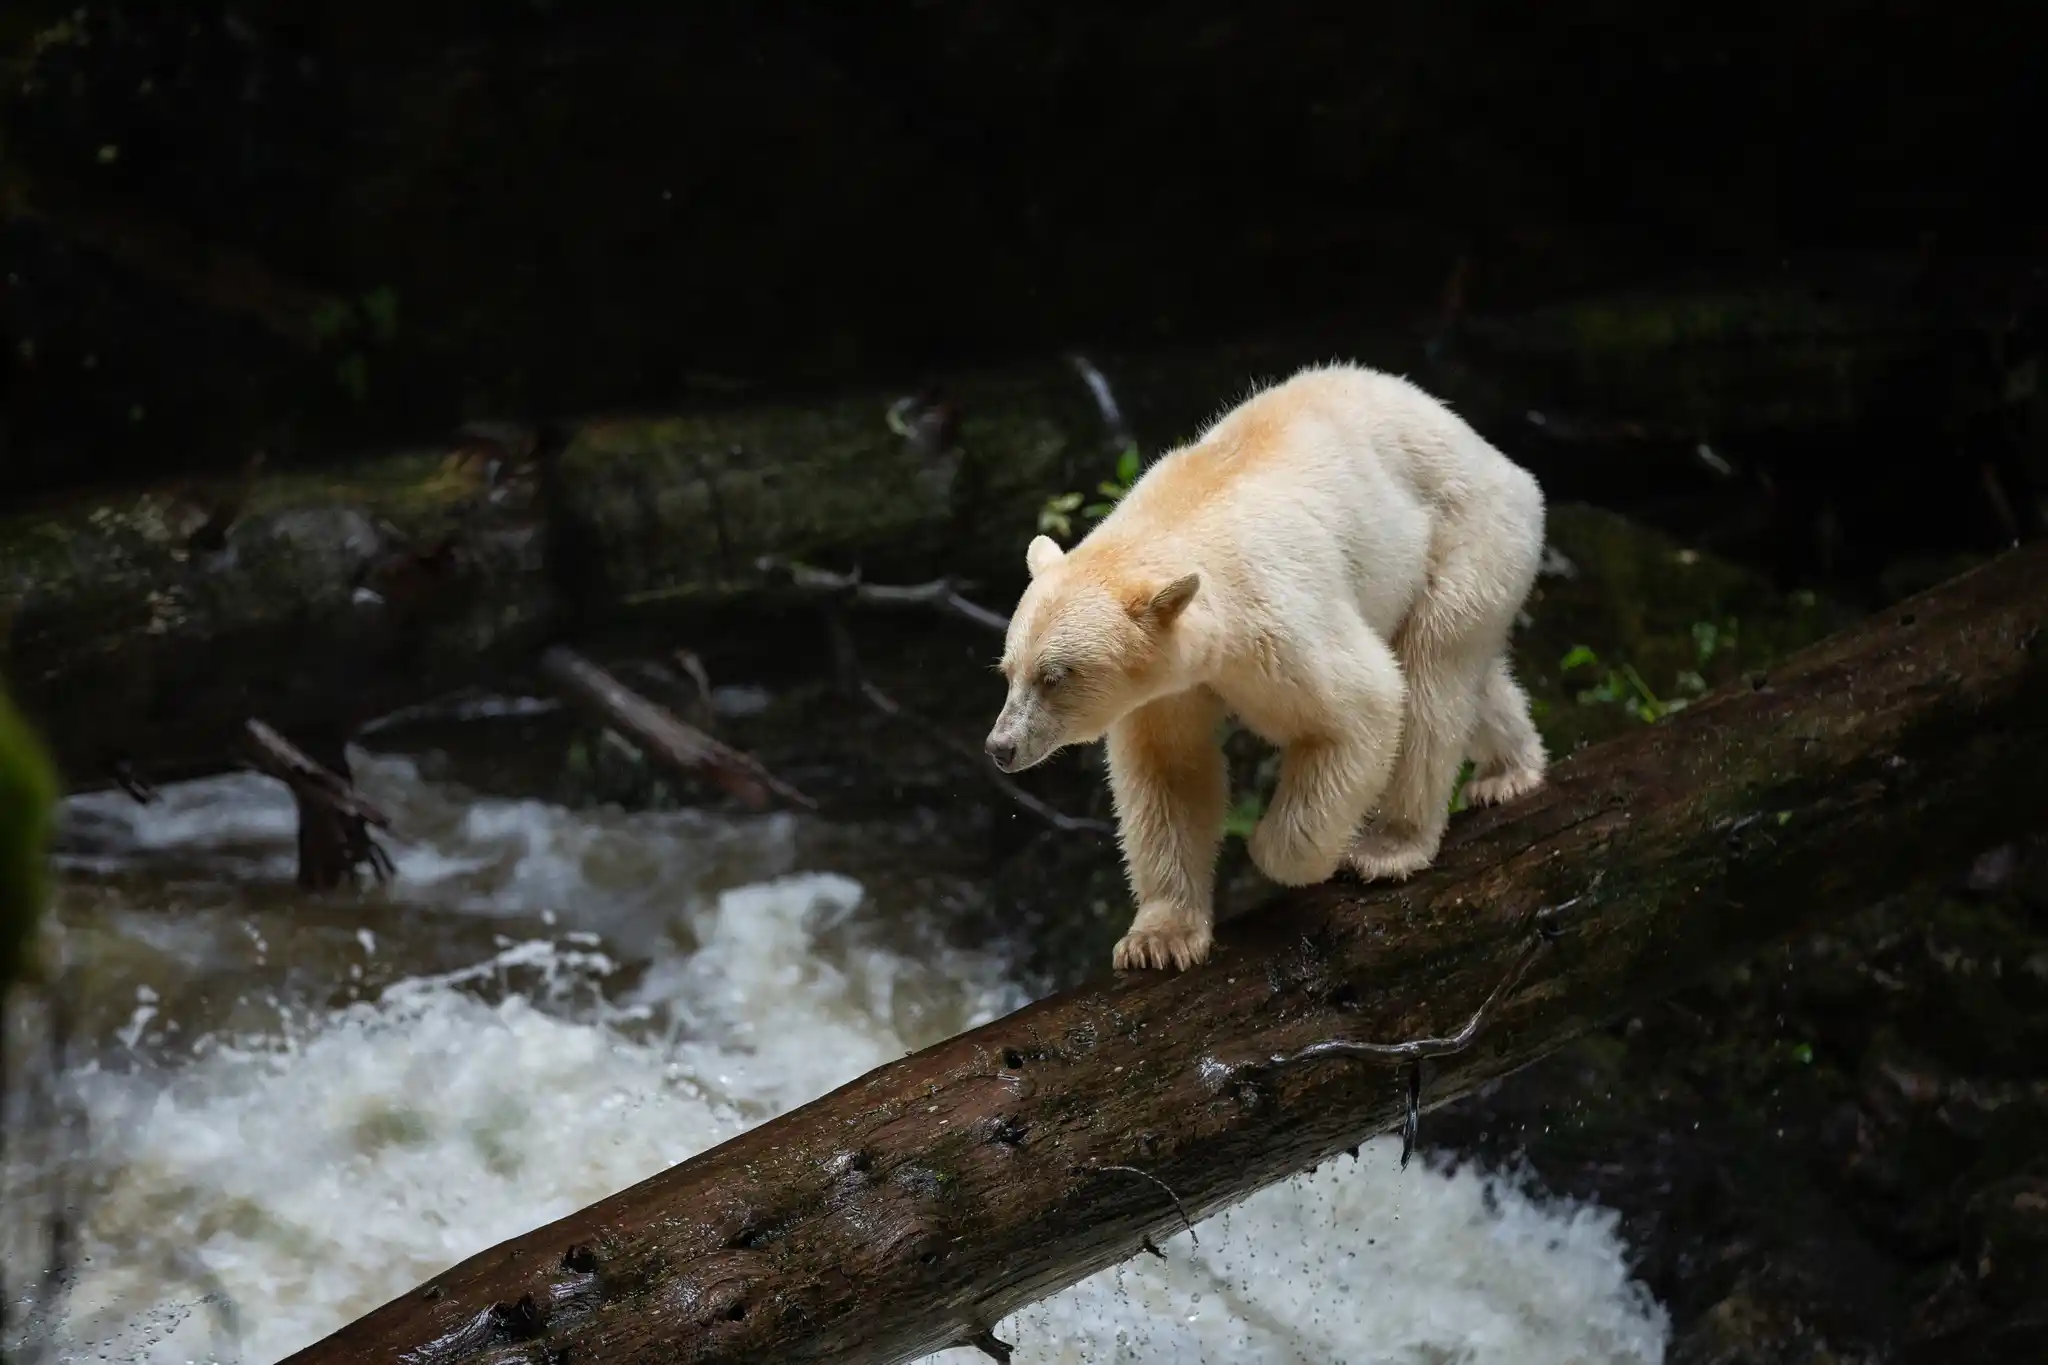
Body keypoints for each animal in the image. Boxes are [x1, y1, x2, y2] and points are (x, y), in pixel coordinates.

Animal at [983, 360, 1540, 970]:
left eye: (1054, 677)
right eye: (1007, 671)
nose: (1001, 747)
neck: (1180, 518)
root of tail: (1501, 461)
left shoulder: (1272, 621)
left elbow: (1361, 705)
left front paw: (1280, 852)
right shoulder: (1168, 684)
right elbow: (1169, 772)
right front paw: (1159, 939)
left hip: (1463, 534)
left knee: (1432, 677)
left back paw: (1389, 846)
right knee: (1469, 678)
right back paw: (1509, 770)